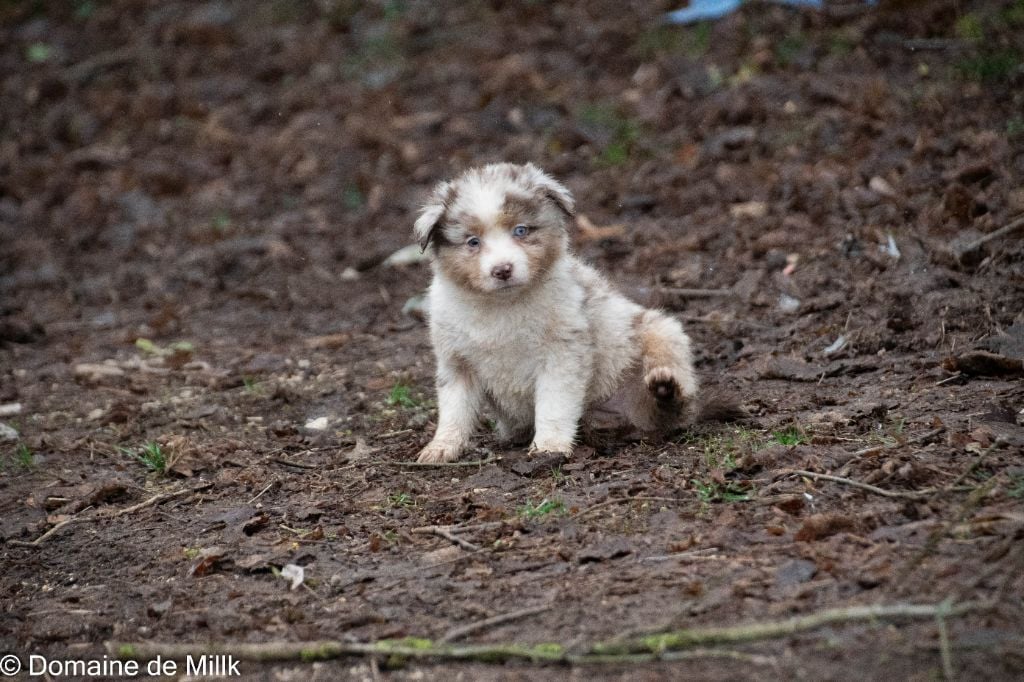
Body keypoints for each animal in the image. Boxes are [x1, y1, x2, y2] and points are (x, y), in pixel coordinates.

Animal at [413, 162, 696, 462]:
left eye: (521, 231)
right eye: (473, 242)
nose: (502, 270)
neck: (502, 305)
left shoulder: (562, 354)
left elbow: (553, 405)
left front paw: (549, 447)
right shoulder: (456, 362)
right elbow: (454, 410)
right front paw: (441, 447)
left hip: (660, 331)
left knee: (673, 405)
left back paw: (664, 389)